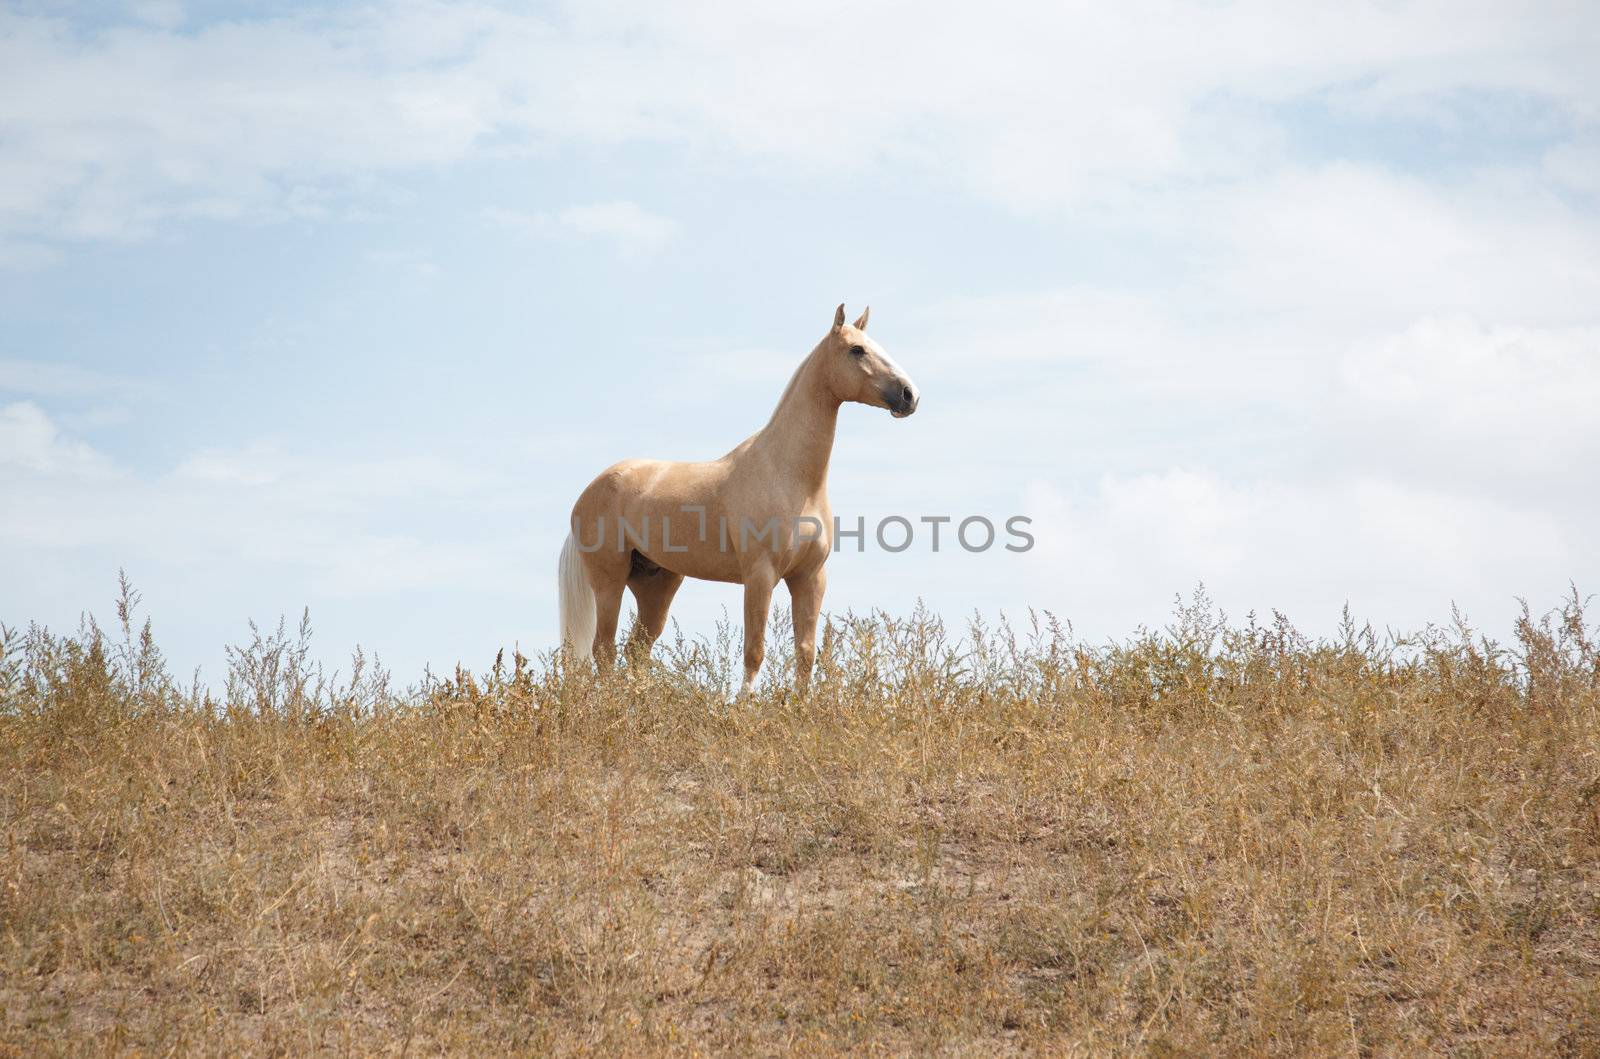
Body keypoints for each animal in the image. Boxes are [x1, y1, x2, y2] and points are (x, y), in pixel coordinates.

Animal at [560, 305, 915, 697]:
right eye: (856, 350)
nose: (908, 395)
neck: (789, 475)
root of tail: (590, 491)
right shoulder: (760, 576)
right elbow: (754, 650)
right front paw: (744, 703)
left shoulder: (810, 578)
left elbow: (805, 653)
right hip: (609, 581)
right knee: (604, 650)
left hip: (656, 585)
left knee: (636, 650)